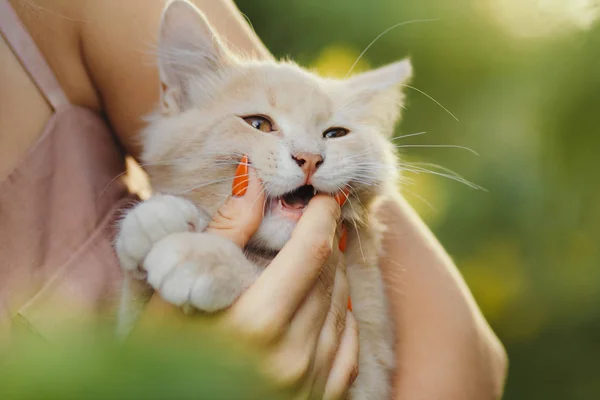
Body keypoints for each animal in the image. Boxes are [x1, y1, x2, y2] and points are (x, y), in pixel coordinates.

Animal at [113, 0, 412, 396]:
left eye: (335, 134)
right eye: (259, 125)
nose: (309, 158)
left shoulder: (368, 369)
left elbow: (255, 276)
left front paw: (204, 257)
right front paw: (153, 221)